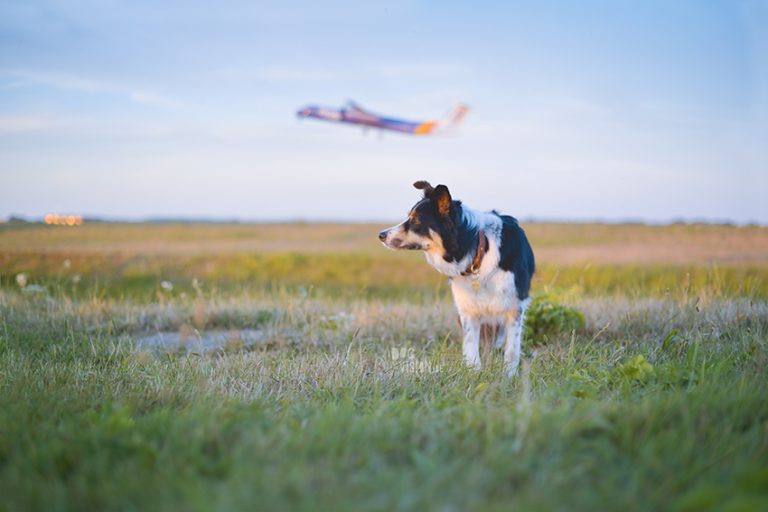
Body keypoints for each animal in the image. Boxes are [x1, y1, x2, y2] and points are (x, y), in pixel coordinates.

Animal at [378, 180, 536, 376]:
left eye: (415, 220)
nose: (381, 235)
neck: (478, 251)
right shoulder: (468, 309)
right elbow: (471, 346)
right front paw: (474, 373)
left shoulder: (514, 307)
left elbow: (512, 349)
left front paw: (509, 376)